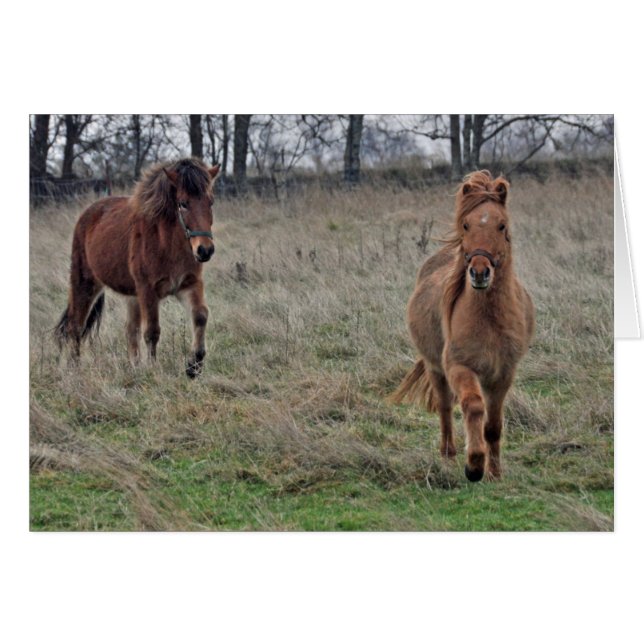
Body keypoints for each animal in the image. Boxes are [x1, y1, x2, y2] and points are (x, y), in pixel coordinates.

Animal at [55, 158, 221, 378]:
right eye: (183, 203)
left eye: (210, 202)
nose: (205, 250)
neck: (168, 244)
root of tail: (89, 213)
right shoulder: (148, 290)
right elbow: (152, 331)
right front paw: (153, 369)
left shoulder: (189, 284)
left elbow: (200, 315)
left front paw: (194, 365)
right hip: (85, 283)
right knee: (75, 326)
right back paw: (74, 369)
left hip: (132, 295)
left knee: (130, 330)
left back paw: (134, 367)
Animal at [391, 170, 535, 482]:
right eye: (466, 224)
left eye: (502, 225)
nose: (479, 272)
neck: (489, 320)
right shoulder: (460, 368)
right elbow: (473, 406)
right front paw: (474, 465)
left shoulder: (502, 375)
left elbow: (493, 426)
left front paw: (494, 473)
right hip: (435, 369)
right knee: (445, 409)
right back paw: (448, 456)